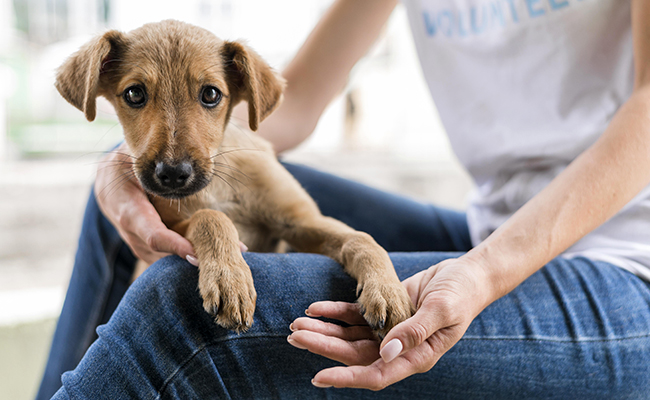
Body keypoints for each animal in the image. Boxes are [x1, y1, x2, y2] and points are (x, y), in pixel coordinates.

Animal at [54, 19, 410, 338]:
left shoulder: (301, 222)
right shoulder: (171, 227)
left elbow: (361, 239)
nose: (173, 174)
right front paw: (230, 279)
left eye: (211, 94)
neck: (219, 184)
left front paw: (388, 290)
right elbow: (211, 218)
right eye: (134, 94)